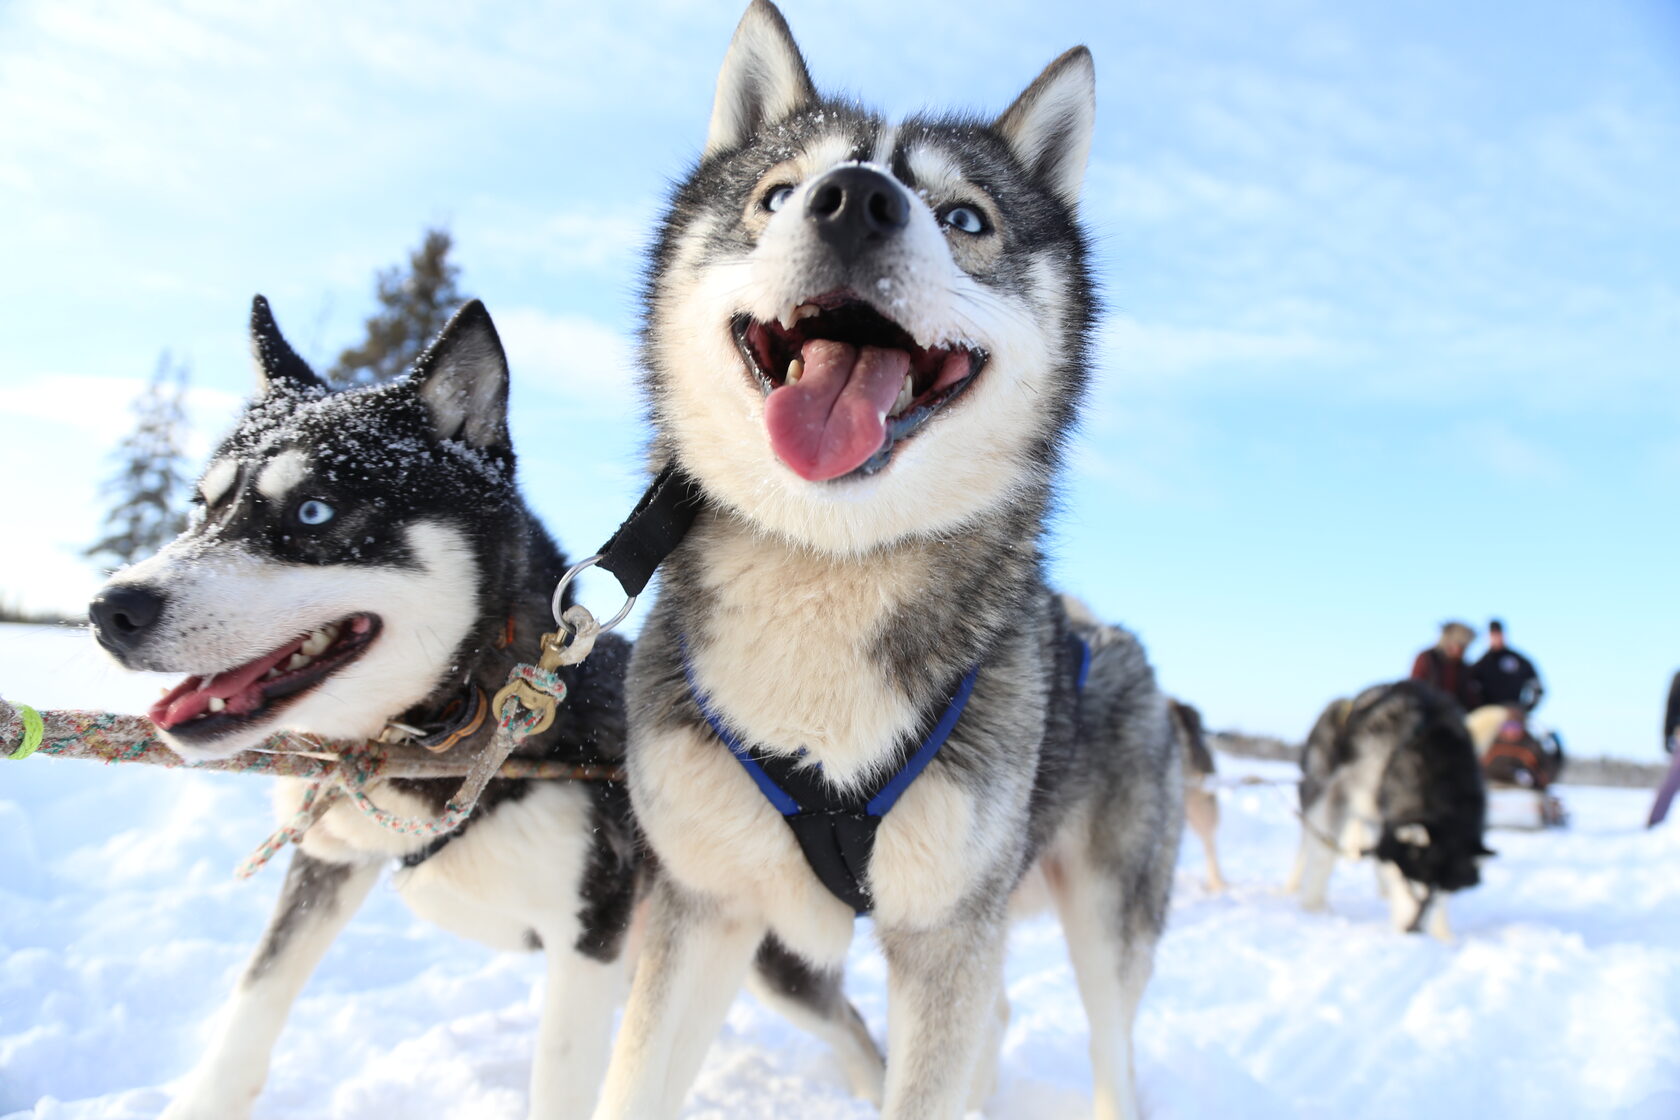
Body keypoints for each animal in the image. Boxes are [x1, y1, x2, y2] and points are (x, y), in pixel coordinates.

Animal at [591, 4, 1182, 1114]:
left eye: (965, 218)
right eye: (779, 193)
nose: (854, 201)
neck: (829, 572)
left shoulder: (946, 934)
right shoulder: (706, 904)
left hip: (1102, 925)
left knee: (1114, 1055)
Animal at [1283, 678, 1498, 940]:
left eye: (1442, 889)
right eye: (1410, 880)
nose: (1412, 930)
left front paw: (1442, 936)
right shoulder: (1340, 791)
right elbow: (1324, 854)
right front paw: (1313, 908)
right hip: (1320, 790)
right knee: (1309, 843)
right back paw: (1293, 885)